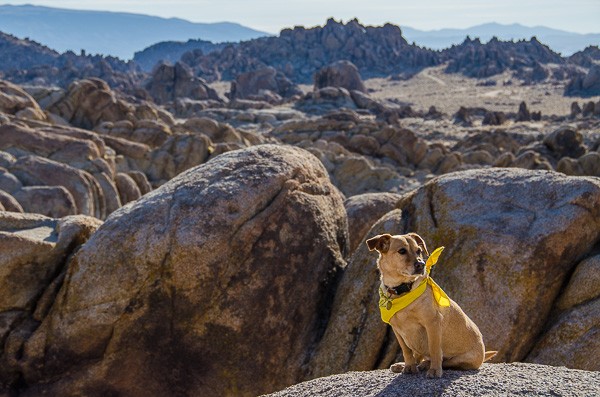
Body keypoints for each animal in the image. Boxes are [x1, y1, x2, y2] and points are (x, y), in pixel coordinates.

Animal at [366, 232, 496, 378]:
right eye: (402, 251)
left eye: (419, 250)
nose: (421, 264)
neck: (402, 290)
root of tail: (483, 353)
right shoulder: (397, 329)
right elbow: (407, 351)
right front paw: (409, 366)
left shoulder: (432, 323)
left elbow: (435, 350)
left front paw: (434, 370)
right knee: (418, 354)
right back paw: (404, 365)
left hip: (462, 359)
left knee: (445, 361)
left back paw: (426, 365)